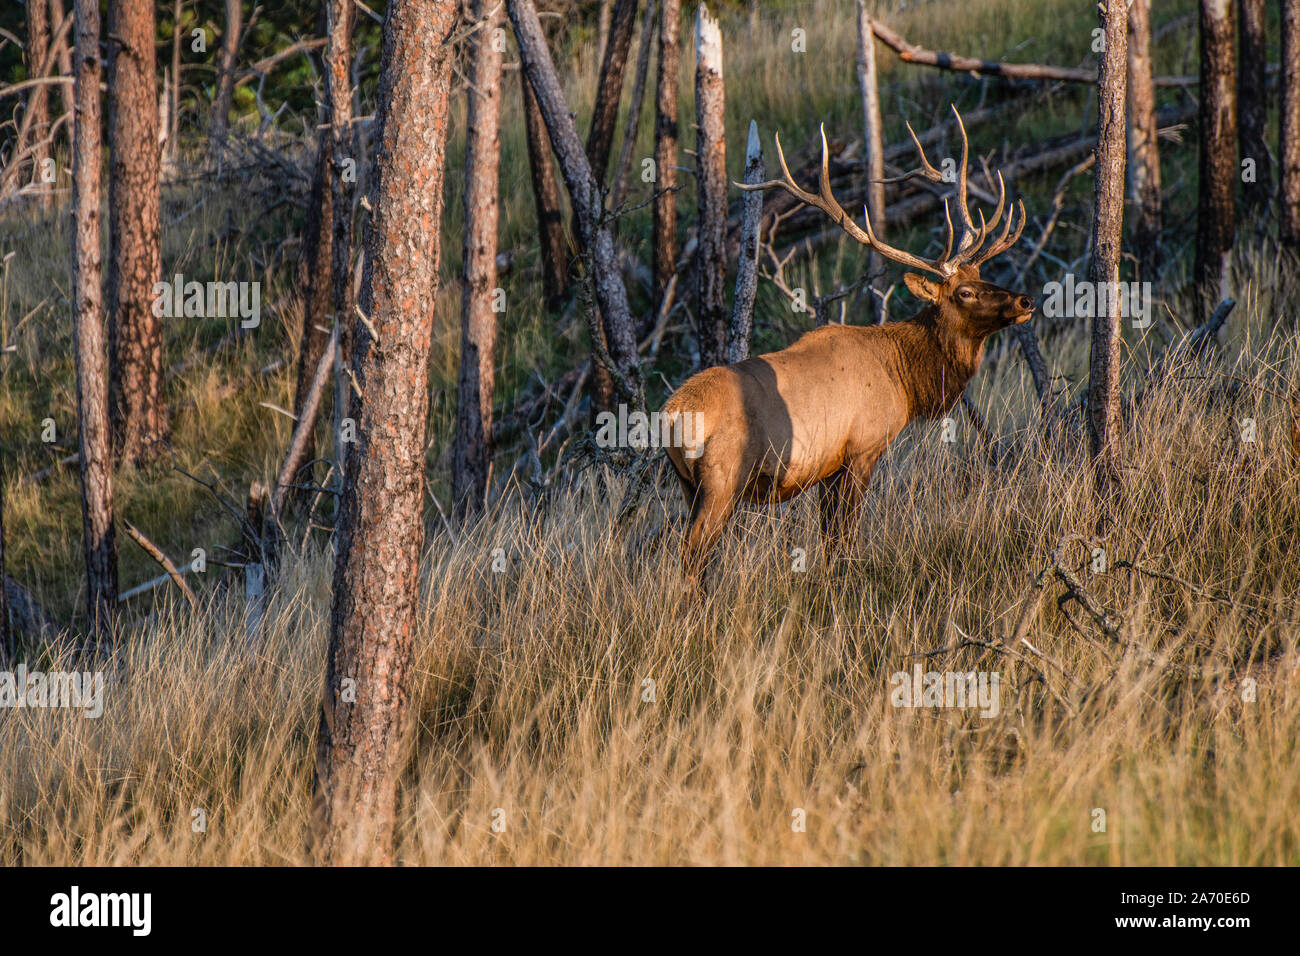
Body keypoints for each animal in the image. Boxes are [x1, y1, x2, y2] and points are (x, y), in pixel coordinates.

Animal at [665, 108, 1029, 580]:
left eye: (983, 276)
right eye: (964, 292)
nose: (1025, 301)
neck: (904, 378)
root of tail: (670, 417)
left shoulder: (827, 466)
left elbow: (829, 537)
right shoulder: (862, 448)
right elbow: (844, 538)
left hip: (686, 484)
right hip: (721, 478)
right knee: (691, 554)